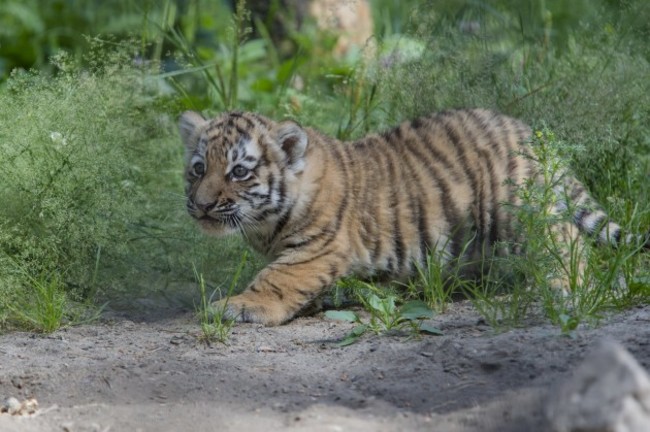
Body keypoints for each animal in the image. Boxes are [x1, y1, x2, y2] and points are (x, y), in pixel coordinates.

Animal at [179, 109, 649, 326]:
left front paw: (239, 306)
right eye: (199, 168)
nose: (201, 205)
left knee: (567, 241)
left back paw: (566, 288)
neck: (264, 225)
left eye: (239, 171)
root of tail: (523, 129)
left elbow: (275, 279)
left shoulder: (314, 249)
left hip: (518, 213)